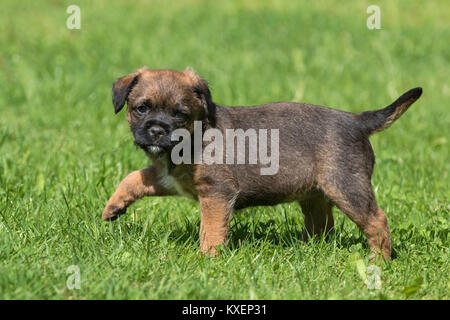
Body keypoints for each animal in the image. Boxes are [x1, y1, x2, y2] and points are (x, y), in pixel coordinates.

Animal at [102, 67, 422, 260]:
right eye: (141, 109)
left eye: (180, 115)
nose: (157, 130)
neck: (195, 137)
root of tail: (357, 121)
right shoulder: (169, 178)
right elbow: (134, 177)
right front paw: (114, 205)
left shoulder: (217, 194)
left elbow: (211, 229)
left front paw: (208, 259)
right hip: (314, 195)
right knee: (323, 226)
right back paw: (308, 253)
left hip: (346, 188)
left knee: (377, 220)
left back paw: (378, 260)